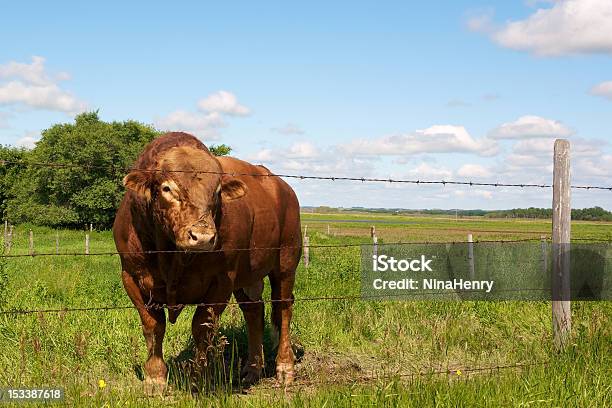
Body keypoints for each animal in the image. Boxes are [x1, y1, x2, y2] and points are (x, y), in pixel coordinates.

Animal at [112, 132, 302, 394]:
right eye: (167, 188)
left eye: (217, 191)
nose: (202, 236)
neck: (172, 257)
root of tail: (282, 187)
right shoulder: (132, 277)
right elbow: (153, 326)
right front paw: (155, 378)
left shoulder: (222, 281)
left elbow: (202, 327)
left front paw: (198, 378)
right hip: (249, 275)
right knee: (254, 310)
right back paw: (252, 369)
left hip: (286, 262)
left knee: (283, 309)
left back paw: (284, 368)